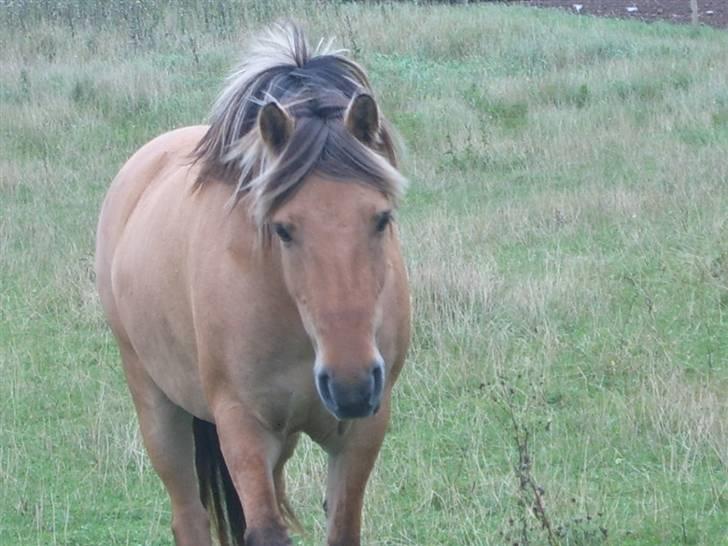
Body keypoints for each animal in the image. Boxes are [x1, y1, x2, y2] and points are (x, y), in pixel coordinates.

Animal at [95, 22, 410, 544]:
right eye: (283, 229)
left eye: (382, 218)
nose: (350, 384)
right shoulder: (242, 425)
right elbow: (262, 528)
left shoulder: (362, 431)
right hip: (156, 404)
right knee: (189, 516)